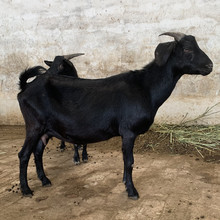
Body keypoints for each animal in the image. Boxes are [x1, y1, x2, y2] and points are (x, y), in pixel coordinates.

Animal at [17, 32, 213, 199]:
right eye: (187, 49)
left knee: (38, 152)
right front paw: (132, 191)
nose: (210, 66)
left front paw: (126, 183)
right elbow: (129, 161)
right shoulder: (128, 132)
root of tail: (25, 88)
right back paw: (26, 189)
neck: (146, 88)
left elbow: (126, 161)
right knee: (24, 154)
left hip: (45, 130)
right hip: (34, 126)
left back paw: (45, 180)